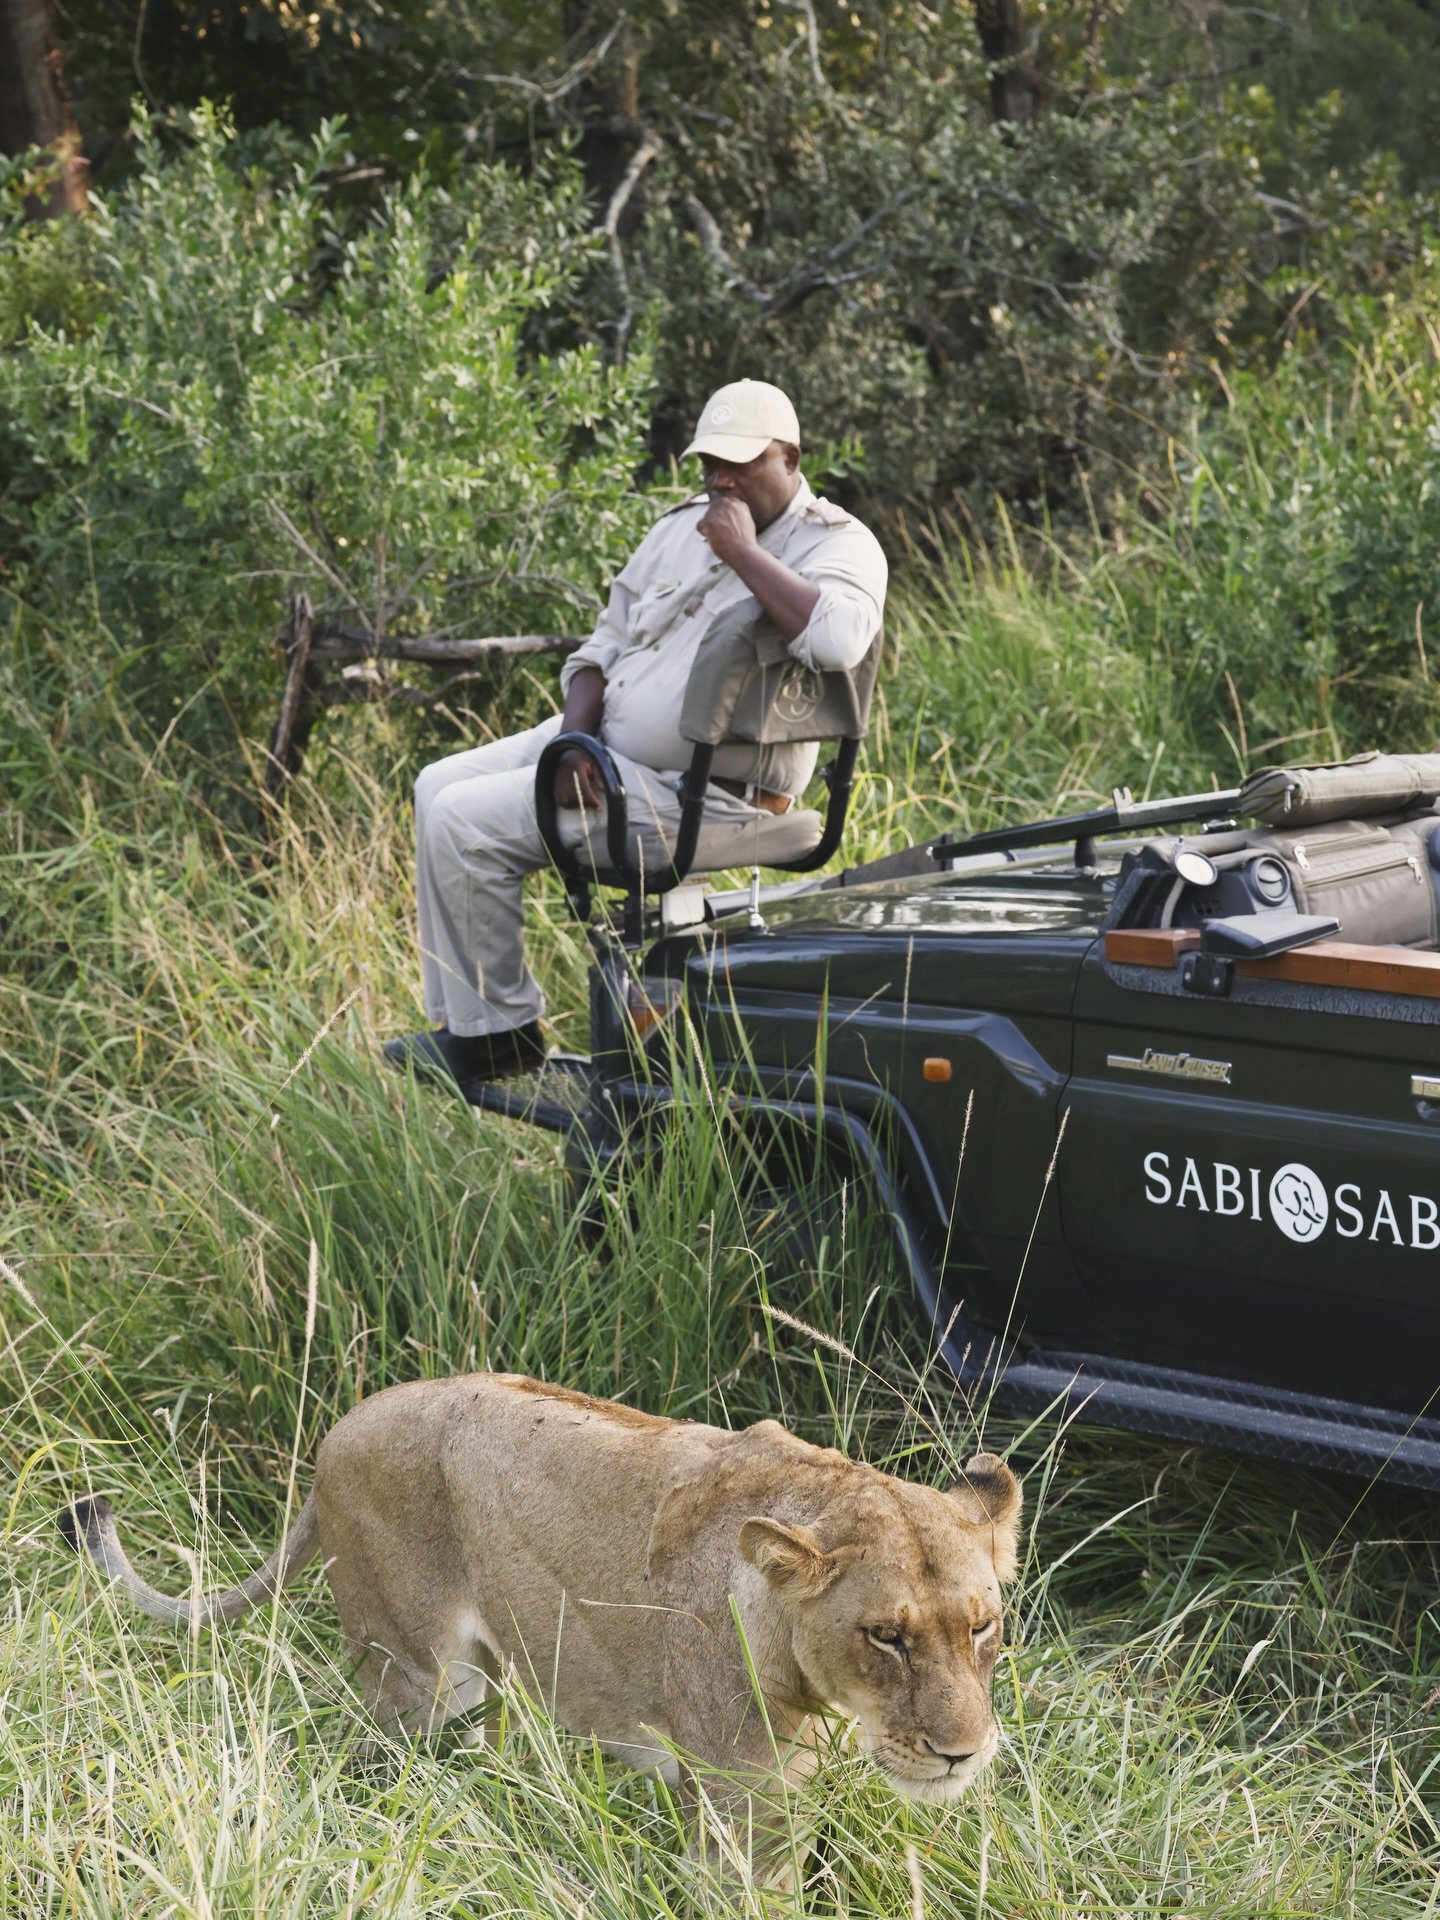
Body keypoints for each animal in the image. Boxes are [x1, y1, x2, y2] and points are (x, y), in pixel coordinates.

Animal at [61, 1373, 1022, 1859]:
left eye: (981, 1627)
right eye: (886, 1636)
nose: (962, 1753)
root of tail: (339, 1428)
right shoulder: (740, 1799)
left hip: (488, 1680)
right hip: (420, 1677)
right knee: (384, 1762)